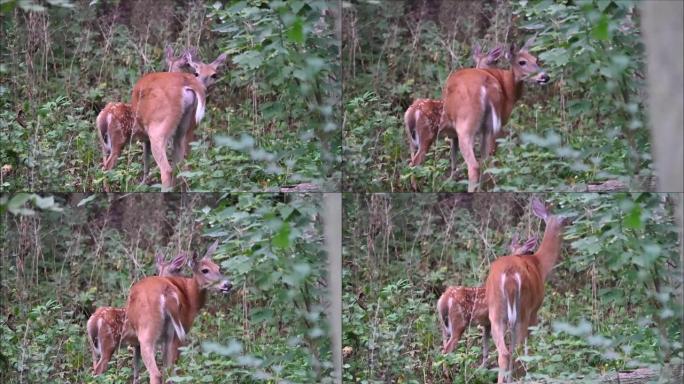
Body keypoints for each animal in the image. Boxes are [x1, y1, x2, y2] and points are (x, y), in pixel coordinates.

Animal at [126, 240, 235, 384]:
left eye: (218, 268)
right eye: (205, 270)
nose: (227, 285)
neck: (190, 297)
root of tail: (166, 293)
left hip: (152, 332)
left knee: (161, 371)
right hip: (160, 332)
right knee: (164, 370)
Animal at [436, 234, 536, 366]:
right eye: (525, 252)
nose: (532, 253)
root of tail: (445, 298)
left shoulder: (486, 323)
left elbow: (485, 348)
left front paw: (483, 367)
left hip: (444, 325)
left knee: (443, 347)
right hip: (459, 322)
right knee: (446, 350)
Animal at [444, 38, 552, 191]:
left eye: (536, 60)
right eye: (522, 62)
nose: (545, 77)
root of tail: (486, 86)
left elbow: (453, 153)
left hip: (466, 125)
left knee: (475, 164)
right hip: (486, 126)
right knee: (484, 160)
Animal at [486, 200, 572, 382]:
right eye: (564, 220)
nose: (572, 222)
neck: (540, 264)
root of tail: (510, 276)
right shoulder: (535, 309)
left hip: (496, 311)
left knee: (504, 352)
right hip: (523, 310)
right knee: (516, 350)